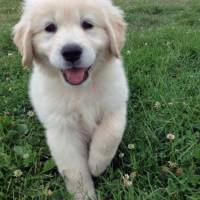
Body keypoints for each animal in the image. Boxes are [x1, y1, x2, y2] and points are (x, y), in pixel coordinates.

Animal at [13, 0, 128, 198]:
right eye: (49, 27)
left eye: (87, 24)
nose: (71, 52)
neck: (81, 89)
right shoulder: (62, 129)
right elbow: (75, 170)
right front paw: (84, 195)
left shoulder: (116, 104)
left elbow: (110, 134)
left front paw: (96, 164)